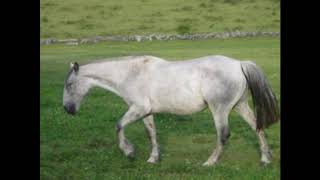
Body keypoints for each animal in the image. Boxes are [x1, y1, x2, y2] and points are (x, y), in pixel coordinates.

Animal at [63, 54, 280, 166]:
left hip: (220, 109)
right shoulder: (146, 112)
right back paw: (265, 159)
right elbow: (151, 133)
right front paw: (153, 158)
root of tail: (239, 64)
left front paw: (129, 151)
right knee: (257, 127)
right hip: (239, 105)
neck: (131, 74)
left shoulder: (138, 108)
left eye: (69, 85)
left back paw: (209, 162)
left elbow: (119, 126)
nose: (68, 109)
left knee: (224, 135)